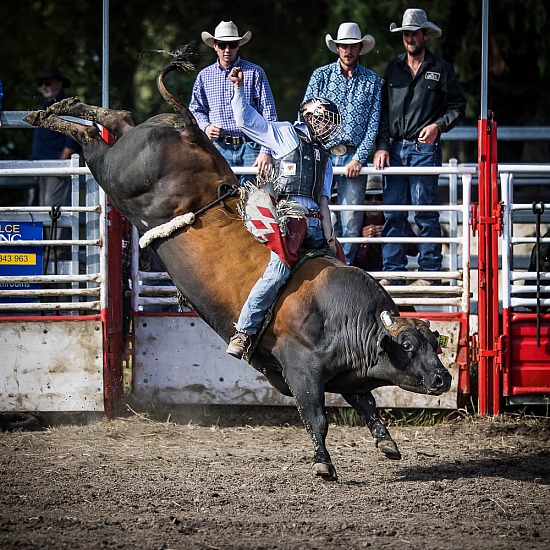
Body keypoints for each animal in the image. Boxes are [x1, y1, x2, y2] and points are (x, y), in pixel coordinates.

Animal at [23, 54, 450, 480]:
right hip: (117, 173)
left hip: (128, 149)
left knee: (118, 118)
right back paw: (48, 114)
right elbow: (317, 417)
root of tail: (189, 128)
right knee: (94, 142)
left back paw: (59, 107)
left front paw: (386, 441)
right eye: (408, 346)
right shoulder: (303, 371)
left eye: (435, 344)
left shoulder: (350, 374)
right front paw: (323, 464)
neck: (342, 317)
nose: (443, 377)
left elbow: (366, 403)